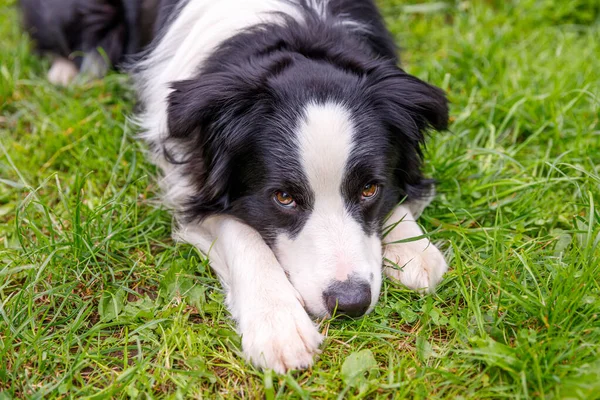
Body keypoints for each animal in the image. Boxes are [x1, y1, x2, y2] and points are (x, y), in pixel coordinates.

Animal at [21, 0, 448, 372]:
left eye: (369, 189)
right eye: (284, 197)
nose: (350, 303)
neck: (297, 34)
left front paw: (414, 248)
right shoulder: (189, 177)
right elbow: (239, 230)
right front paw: (279, 325)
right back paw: (69, 75)